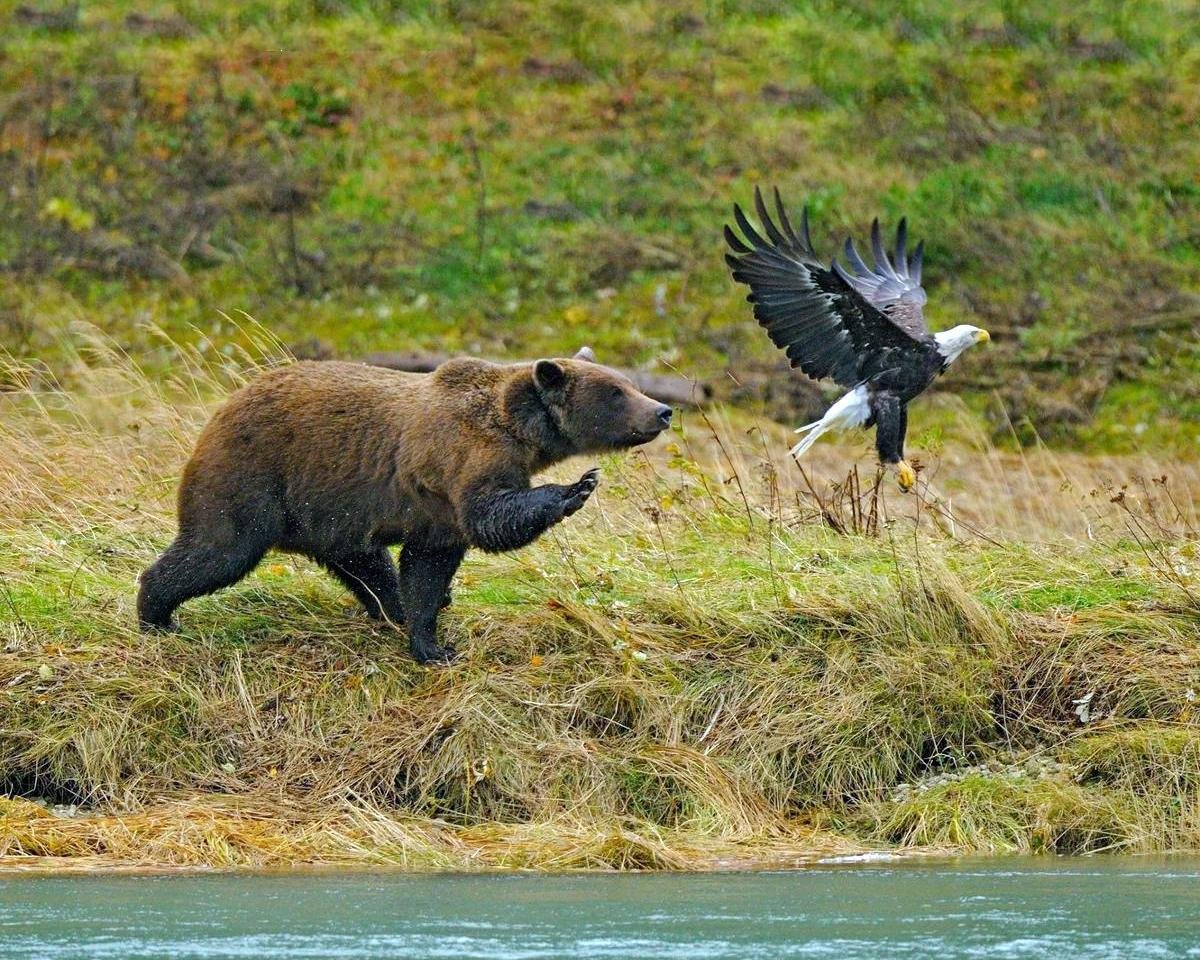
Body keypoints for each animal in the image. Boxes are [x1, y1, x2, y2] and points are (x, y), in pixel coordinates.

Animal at [138, 348, 676, 662]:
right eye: (616, 391)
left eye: (628, 382)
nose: (663, 410)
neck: (521, 432)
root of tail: (219, 411)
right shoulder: (462, 458)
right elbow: (490, 516)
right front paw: (577, 487)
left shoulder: (437, 514)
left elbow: (426, 566)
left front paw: (430, 635)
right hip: (252, 476)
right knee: (218, 549)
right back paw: (156, 614)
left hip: (328, 512)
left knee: (365, 564)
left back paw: (391, 607)